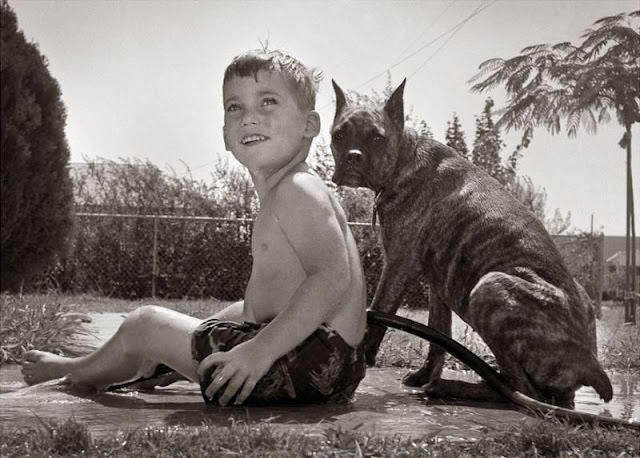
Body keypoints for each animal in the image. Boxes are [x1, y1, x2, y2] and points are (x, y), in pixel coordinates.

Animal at [332, 78, 612, 408]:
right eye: (338, 135)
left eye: (377, 138)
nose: (353, 156)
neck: (404, 157)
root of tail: (589, 363)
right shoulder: (437, 285)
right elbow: (439, 334)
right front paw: (423, 374)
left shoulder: (398, 265)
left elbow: (378, 317)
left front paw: (357, 370)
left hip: (489, 287)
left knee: (523, 392)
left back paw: (454, 387)